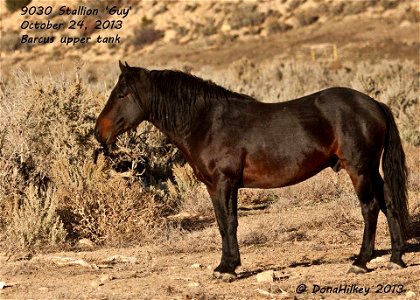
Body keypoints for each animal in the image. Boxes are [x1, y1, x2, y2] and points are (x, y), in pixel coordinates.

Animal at [93, 60, 408, 278]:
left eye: (122, 94)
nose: (98, 132)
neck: (206, 122)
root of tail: (374, 103)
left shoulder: (224, 183)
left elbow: (229, 223)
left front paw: (227, 268)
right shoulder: (214, 186)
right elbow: (223, 224)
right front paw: (227, 265)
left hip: (359, 169)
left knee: (370, 208)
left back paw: (361, 262)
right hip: (371, 170)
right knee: (389, 203)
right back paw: (396, 259)